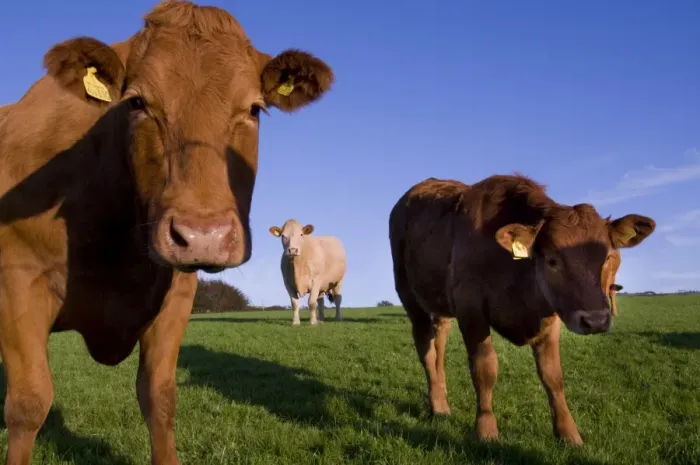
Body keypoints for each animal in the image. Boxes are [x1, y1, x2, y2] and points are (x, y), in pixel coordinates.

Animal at [0, 2, 334, 464]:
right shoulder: (18, 285)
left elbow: (159, 397)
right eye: (138, 103)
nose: (204, 236)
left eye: (253, 109)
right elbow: (29, 404)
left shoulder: (177, 294)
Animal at [388, 175, 655, 446]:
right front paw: (486, 429)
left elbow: (552, 375)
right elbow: (484, 369)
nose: (596, 320)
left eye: (608, 257)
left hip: (440, 305)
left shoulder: (550, 317)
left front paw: (568, 433)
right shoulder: (471, 310)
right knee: (426, 348)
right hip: (410, 296)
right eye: (552, 260)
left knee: (439, 344)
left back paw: (441, 399)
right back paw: (437, 404)